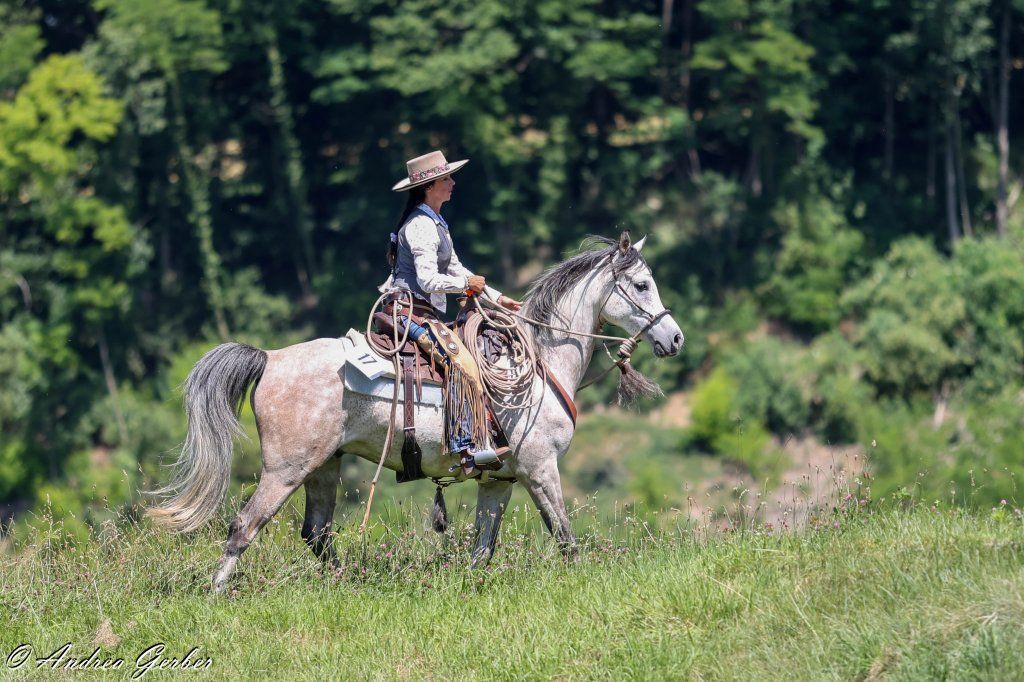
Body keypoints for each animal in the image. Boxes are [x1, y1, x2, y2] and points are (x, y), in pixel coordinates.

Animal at [149, 231, 684, 593]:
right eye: (641, 284)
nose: (674, 337)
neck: (537, 362)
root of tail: (271, 358)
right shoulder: (540, 469)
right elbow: (565, 536)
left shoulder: (500, 480)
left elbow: (483, 547)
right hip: (285, 469)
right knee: (245, 526)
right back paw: (217, 593)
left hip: (324, 466)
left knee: (317, 533)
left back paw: (350, 583)